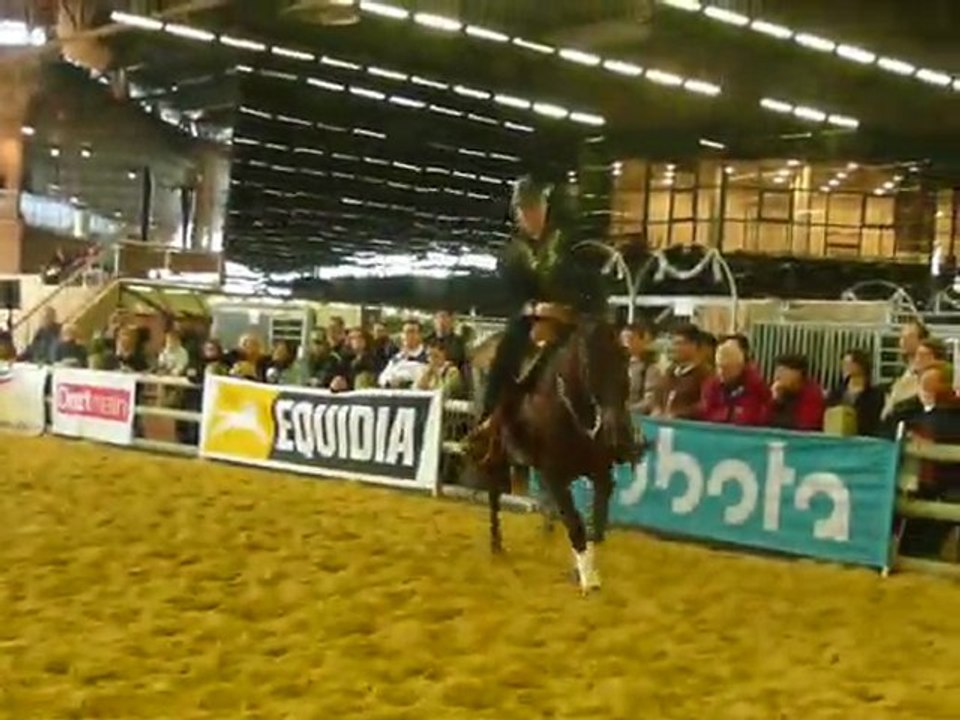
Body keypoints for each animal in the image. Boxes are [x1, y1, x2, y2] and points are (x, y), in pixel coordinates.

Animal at [467, 310, 633, 594]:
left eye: (624, 358)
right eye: (591, 361)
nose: (617, 430)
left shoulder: (600, 474)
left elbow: (596, 526)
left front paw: (582, 569)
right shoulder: (555, 477)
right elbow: (575, 524)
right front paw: (588, 579)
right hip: (496, 456)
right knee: (493, 496)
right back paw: (497, 545)